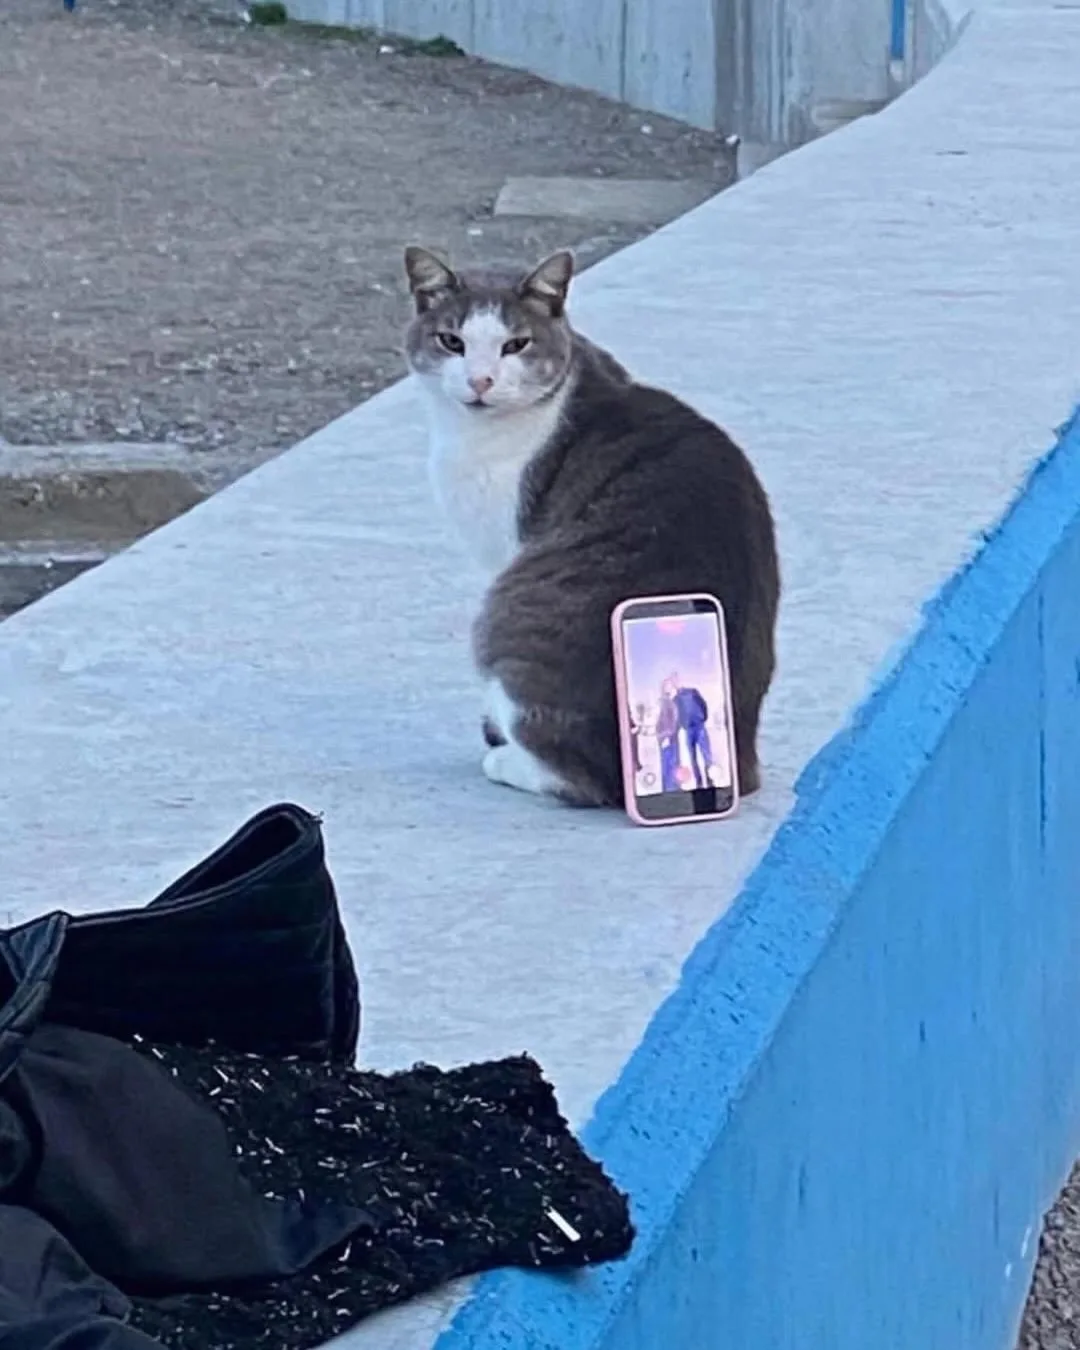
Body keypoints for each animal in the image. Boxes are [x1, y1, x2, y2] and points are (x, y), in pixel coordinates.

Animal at [403, 245, 780, 806]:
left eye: (515, 345)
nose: (480, 381)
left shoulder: (503, 550)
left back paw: (507, 761)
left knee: (581, 778)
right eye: (452, 341)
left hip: (510, 618)